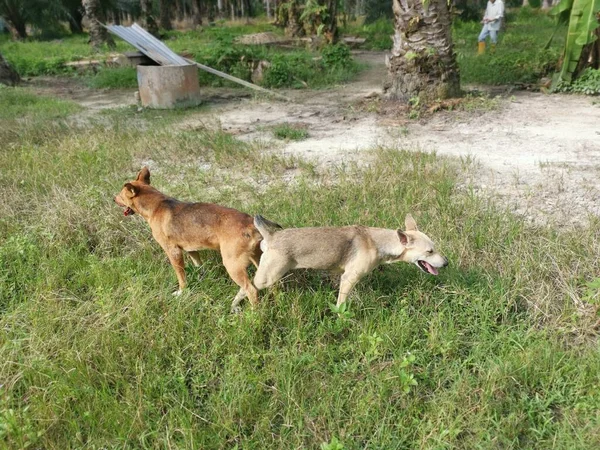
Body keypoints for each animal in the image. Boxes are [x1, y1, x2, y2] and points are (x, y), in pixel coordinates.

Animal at [115, 167, 262, 304]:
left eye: (120, 195)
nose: (113, 198)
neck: (157, 206)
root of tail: (251, 224)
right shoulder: (191, 250)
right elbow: (199, 266)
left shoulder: (173, 252)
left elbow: (181, 277)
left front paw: (181, 292)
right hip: (257, 258)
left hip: (232, 264)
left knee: (251, 289)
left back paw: (253, 311)